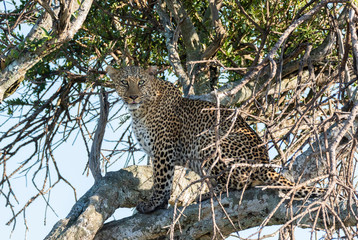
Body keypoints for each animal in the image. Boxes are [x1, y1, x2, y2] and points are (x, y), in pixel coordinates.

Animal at [105, 64, 322, 213]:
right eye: (124, 82)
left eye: (141, 82)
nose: (133, 97)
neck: (140, 111)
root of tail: (264, 163)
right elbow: (165, 180)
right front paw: (161, 203)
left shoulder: (163, 148)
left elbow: (161, 179)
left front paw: (153, 203)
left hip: (208, 138)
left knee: (238, 183)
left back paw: (206, 194)